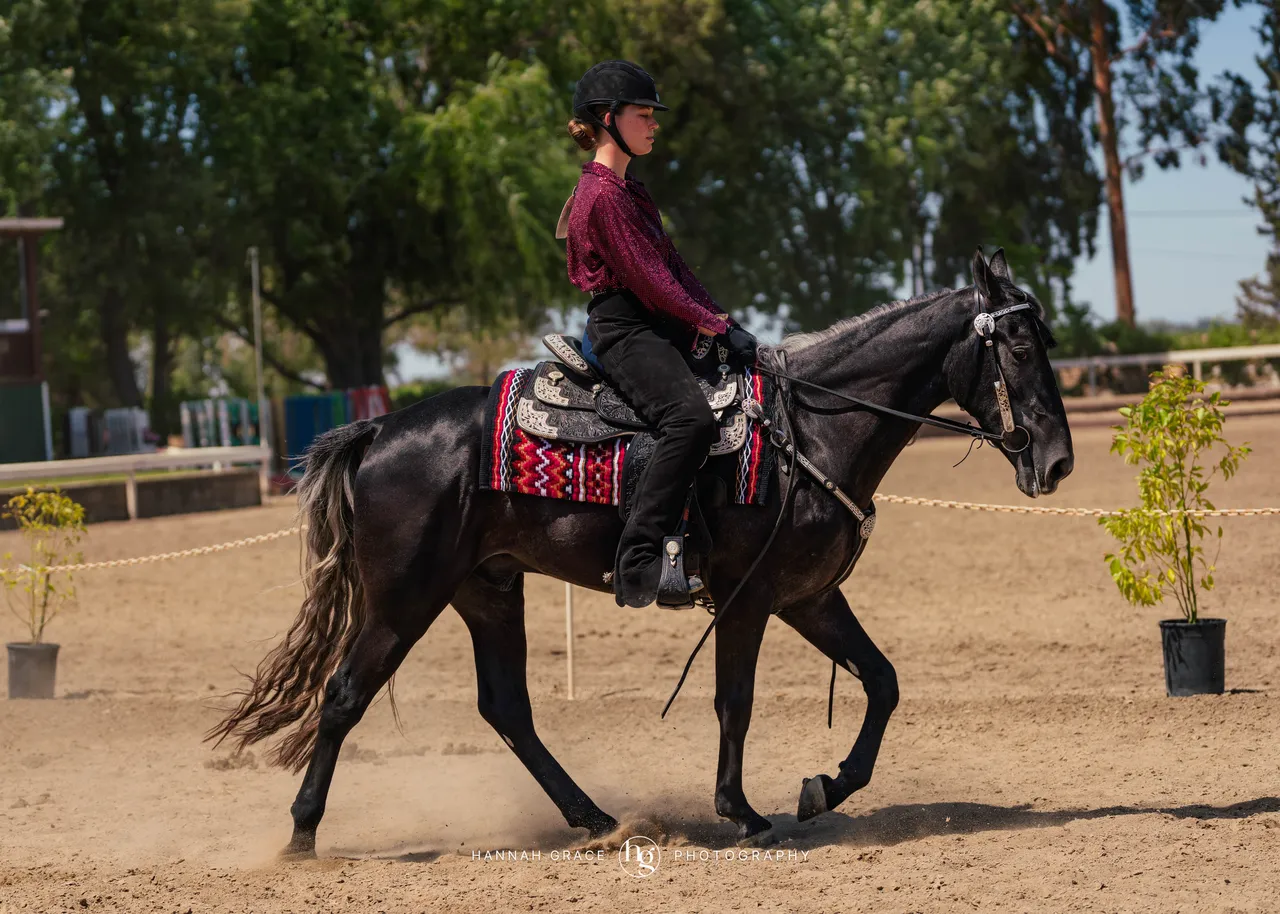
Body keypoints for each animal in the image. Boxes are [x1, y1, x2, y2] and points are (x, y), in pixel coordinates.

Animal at [209, 248, 1074, 855]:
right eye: (1018, 349)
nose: (1059, 461)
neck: (808, 431)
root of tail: (380, 429)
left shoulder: (808, 597)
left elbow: (883, 682)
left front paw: (826, 787)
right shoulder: (749, 599)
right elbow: (735, 701)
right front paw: (742, 812)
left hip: (487, 592)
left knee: (507, 709)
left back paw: (595, 819)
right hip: (402, 599)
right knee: (344, 695)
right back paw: (301, 834)